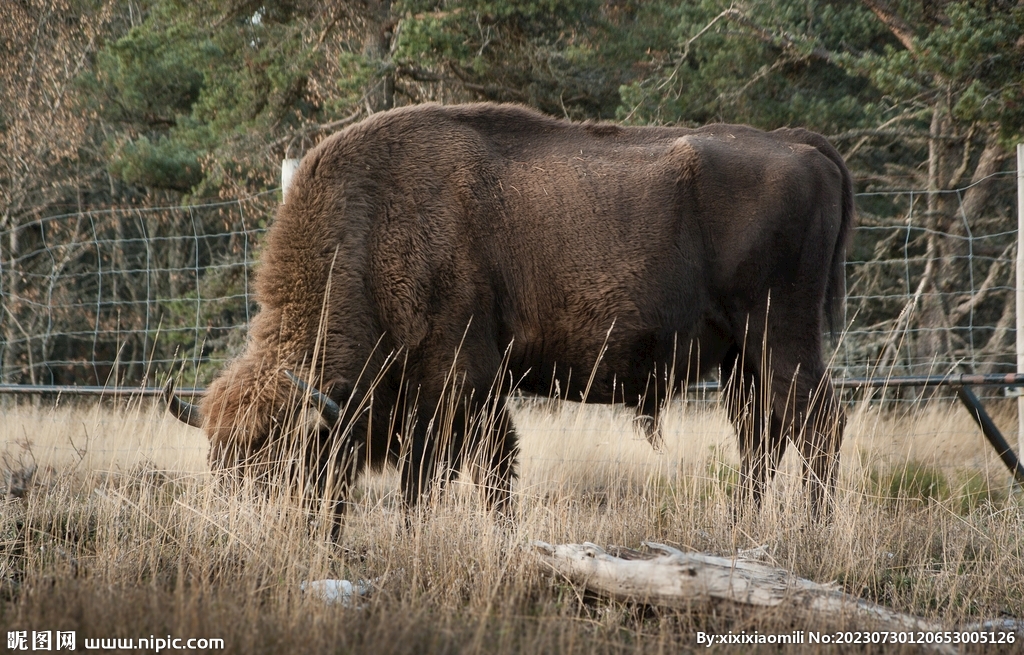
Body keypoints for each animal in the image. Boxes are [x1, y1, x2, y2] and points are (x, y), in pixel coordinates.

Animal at [167, 102, 851, 528]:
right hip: (741, 357)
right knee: (760, 436)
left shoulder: (458, 382)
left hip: (781, 337)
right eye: (219, 464)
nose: (244, 530)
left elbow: (456, 478)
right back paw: (744, 523)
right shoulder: (462, 392)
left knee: (816, 422)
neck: (373, 230)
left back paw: (811, 528)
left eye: (284, 463)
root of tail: (801, 144)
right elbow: (472, 475)